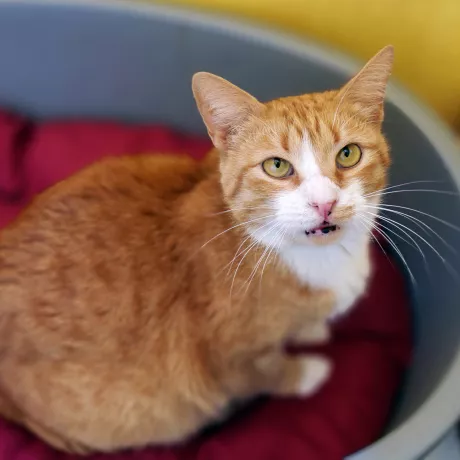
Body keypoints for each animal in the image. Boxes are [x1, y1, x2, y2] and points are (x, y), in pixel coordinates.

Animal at [0, 46, 392, 454]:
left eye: (348, 155)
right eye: (277, 166)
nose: (324, 203)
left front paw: (310, 330)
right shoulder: (230, 362)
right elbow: (270, 372)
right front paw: (309, 372)